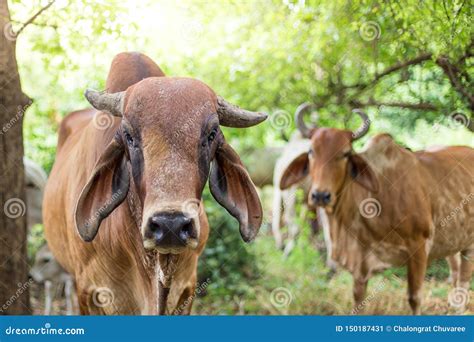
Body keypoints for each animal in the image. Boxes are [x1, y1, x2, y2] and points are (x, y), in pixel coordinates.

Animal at [280, 105, 472, 316]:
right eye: (311, 151)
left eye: (345, 153)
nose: (321, 195)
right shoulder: (360, 262)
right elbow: (358, 300)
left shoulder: (419, 248)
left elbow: (414, 298)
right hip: (452, 242)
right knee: (455, 274)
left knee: (463, 282)